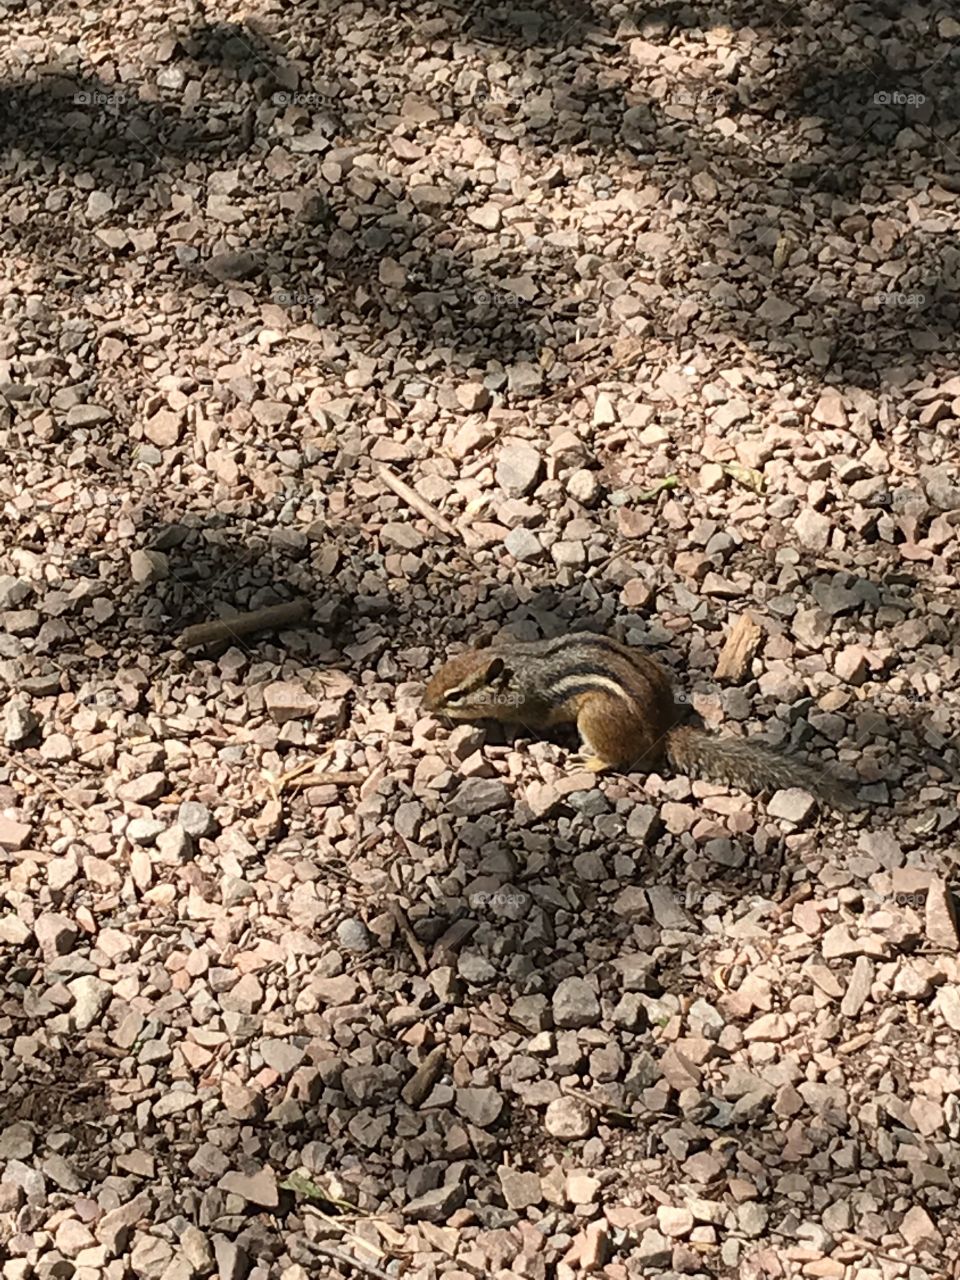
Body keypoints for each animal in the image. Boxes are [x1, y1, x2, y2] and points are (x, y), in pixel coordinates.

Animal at [422, 631, 856, 810]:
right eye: (439, 673)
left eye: (454, 696)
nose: (426, 705)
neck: (518, 666)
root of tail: (662, 731)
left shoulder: (533, 705)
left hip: (595, 718)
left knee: (617, 757)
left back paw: (589, 761)